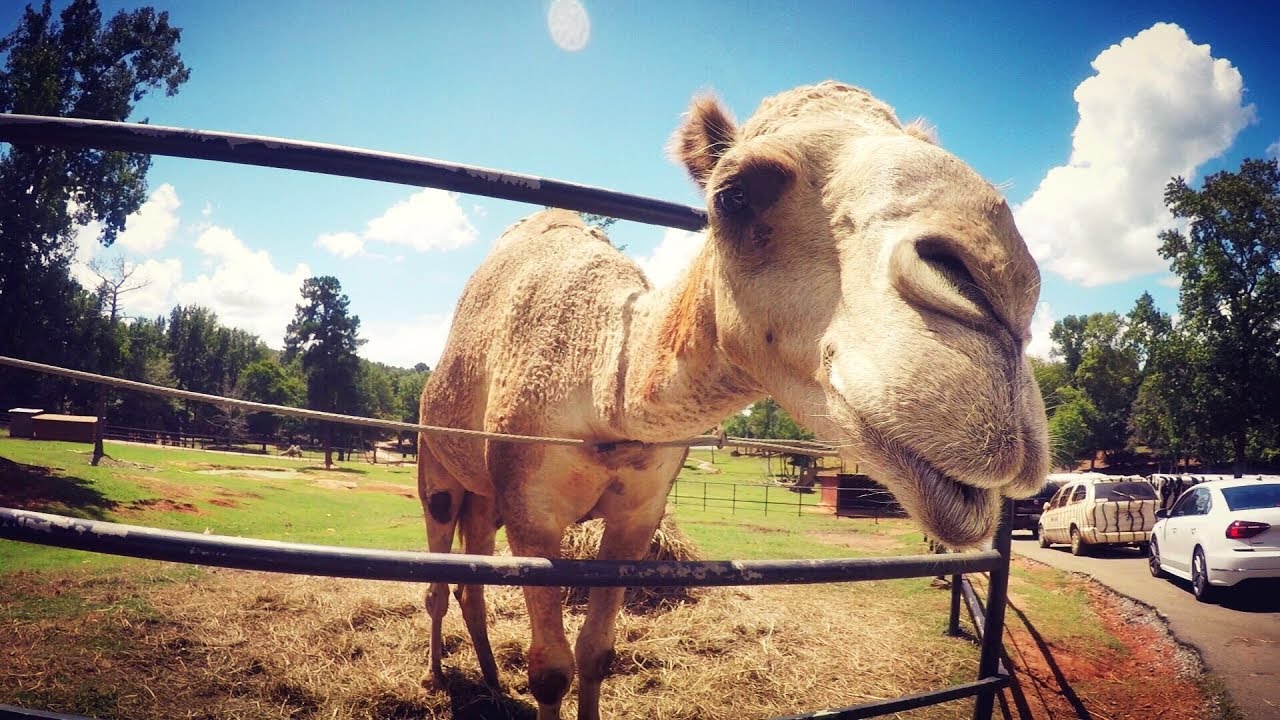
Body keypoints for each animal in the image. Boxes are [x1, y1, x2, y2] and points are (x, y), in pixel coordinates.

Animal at [419, 81, 1049, 712]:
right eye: (733, 195)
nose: (1005, 288)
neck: (601, 386)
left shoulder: (637, 516)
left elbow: (597, 653)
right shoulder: (533, 514)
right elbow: (550, 670)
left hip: (485, 497)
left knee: (470, 580)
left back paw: (491, 682)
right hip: (438, 472)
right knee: (439, 581)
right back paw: (439, 678)